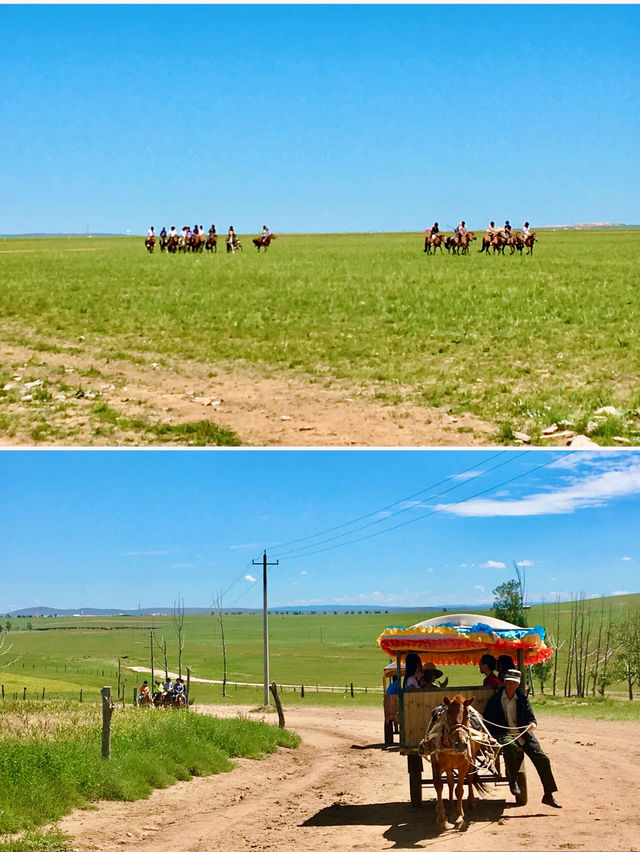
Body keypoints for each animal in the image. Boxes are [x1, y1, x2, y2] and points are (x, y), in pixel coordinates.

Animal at [420, 696, 484, 828]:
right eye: (448, 715)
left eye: (467, 716)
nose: (461, 744)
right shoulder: (436, 765)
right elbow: (439, 786)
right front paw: (441, 817)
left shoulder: (463, 766)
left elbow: (459, 790)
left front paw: (460, 817)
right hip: (448, 767)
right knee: (450, 782)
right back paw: (449, 806)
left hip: (472, 760)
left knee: (469, 779)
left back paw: (471, 801)